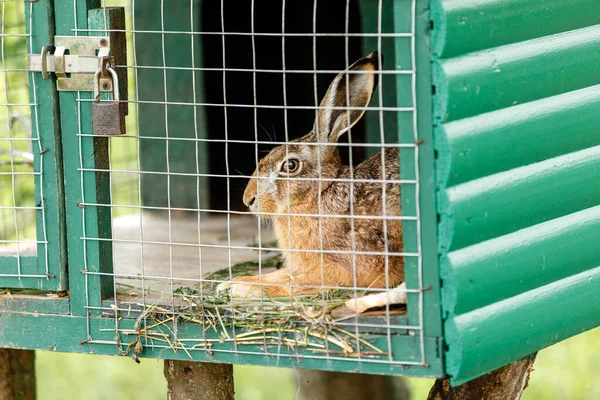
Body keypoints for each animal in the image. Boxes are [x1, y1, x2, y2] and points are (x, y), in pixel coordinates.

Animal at [216, 50, 404, 296]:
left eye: (290, 166)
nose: (248, 200)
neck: (320, 194)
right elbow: (280, 274)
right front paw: (230, 282)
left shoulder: (340, 268)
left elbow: (292, 283)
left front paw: (244, 288)